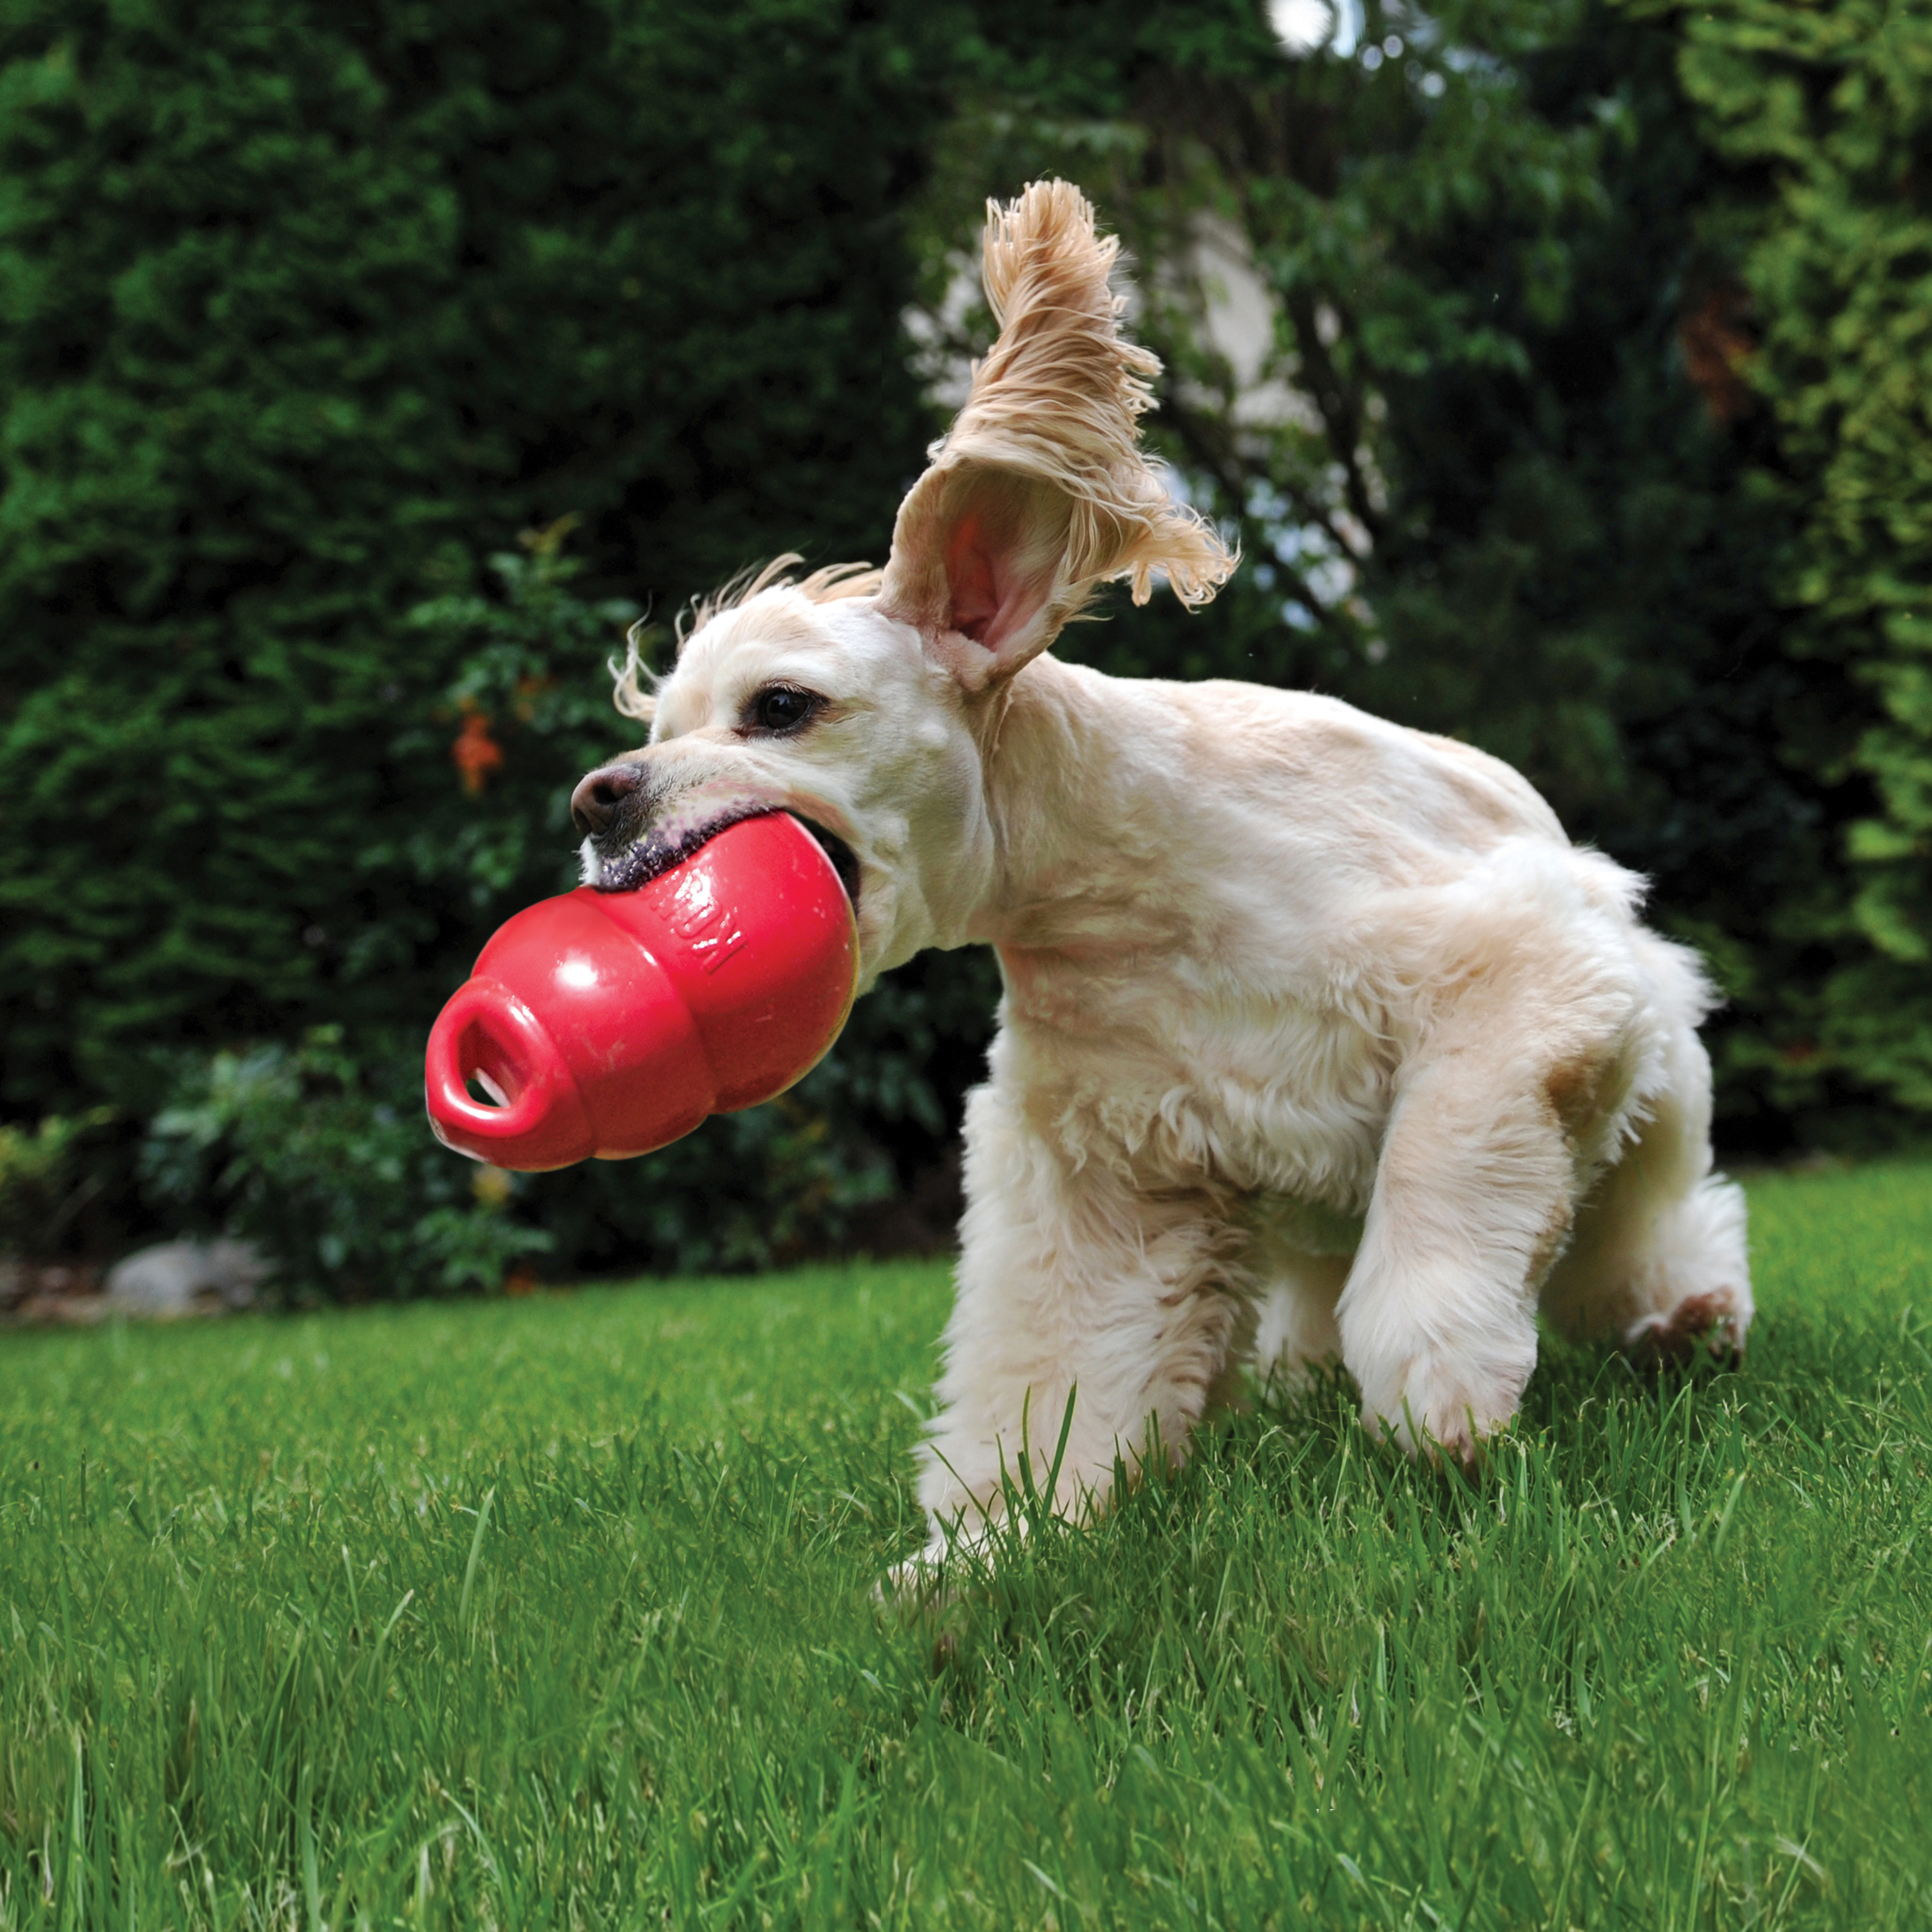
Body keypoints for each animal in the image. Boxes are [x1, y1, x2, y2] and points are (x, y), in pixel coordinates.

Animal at [568, 178, 1754, 1569]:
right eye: (659, 729)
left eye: (782, 707)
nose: (599, 797)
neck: (1119, 899)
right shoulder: (1106, 1174)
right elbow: (1055, 1378)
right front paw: (987, 1552)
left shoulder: (1520, 980)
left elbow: (1443, 1179)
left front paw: (1443, 1396)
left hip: (1647, 1080)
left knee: (1640, 1230)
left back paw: (1687, 1320)